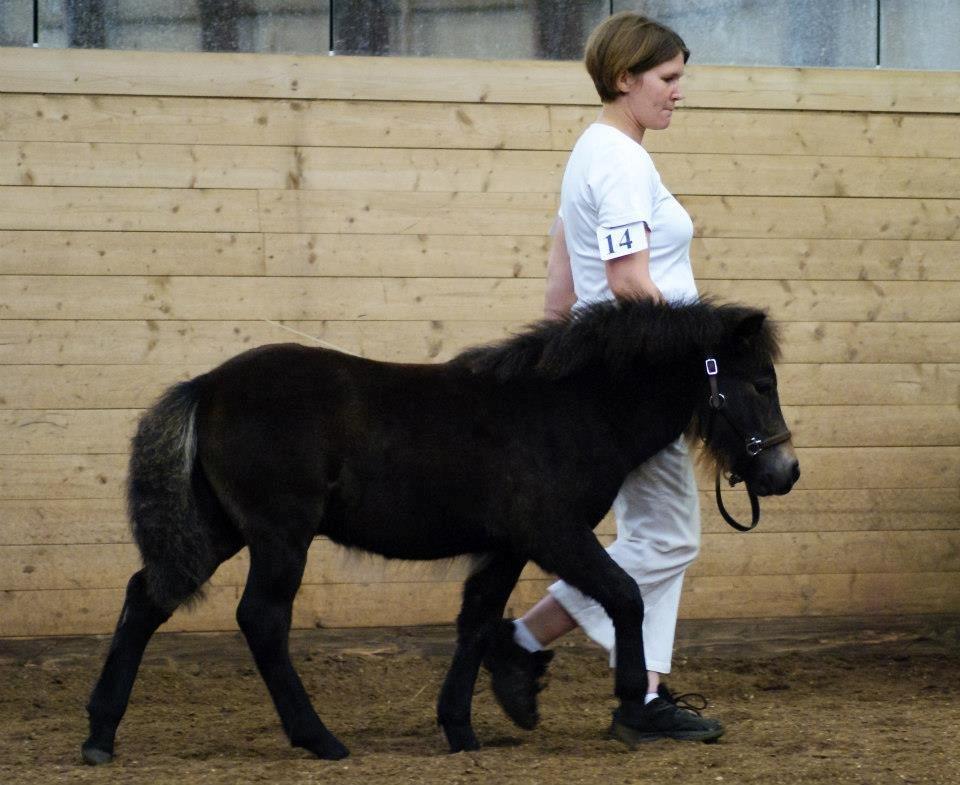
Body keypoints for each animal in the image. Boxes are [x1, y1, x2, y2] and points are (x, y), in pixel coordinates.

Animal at [82, 298, 800, 764]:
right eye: (759, 383)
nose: (784, 471)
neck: (569, 409)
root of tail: (207, 385)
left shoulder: (506, 545)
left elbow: (477, 622)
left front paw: (463, 725)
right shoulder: (551, 532)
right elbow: (624, 594)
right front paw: (632, 701)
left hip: (220, 527)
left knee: (146, 597)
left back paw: (100, 734)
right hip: (280, 534)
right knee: (260, 618)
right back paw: (320, 738)